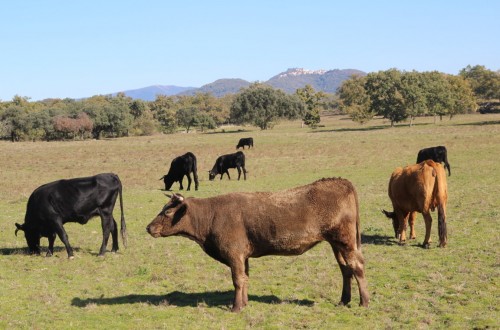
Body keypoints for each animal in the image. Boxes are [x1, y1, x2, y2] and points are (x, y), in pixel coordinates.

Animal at [146, 178, 370, 312]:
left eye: (167, 211)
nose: (148, 227)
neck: (212, 215)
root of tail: (340, 182)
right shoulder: (243, 257)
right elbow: (245, 278)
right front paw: (244, 303)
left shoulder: (234, 255)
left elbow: (238, 280)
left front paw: (236, 308)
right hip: (336, 245)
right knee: (346, 270)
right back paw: (344, 300)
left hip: (346, 242)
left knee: (357, 267)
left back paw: (364, 302)